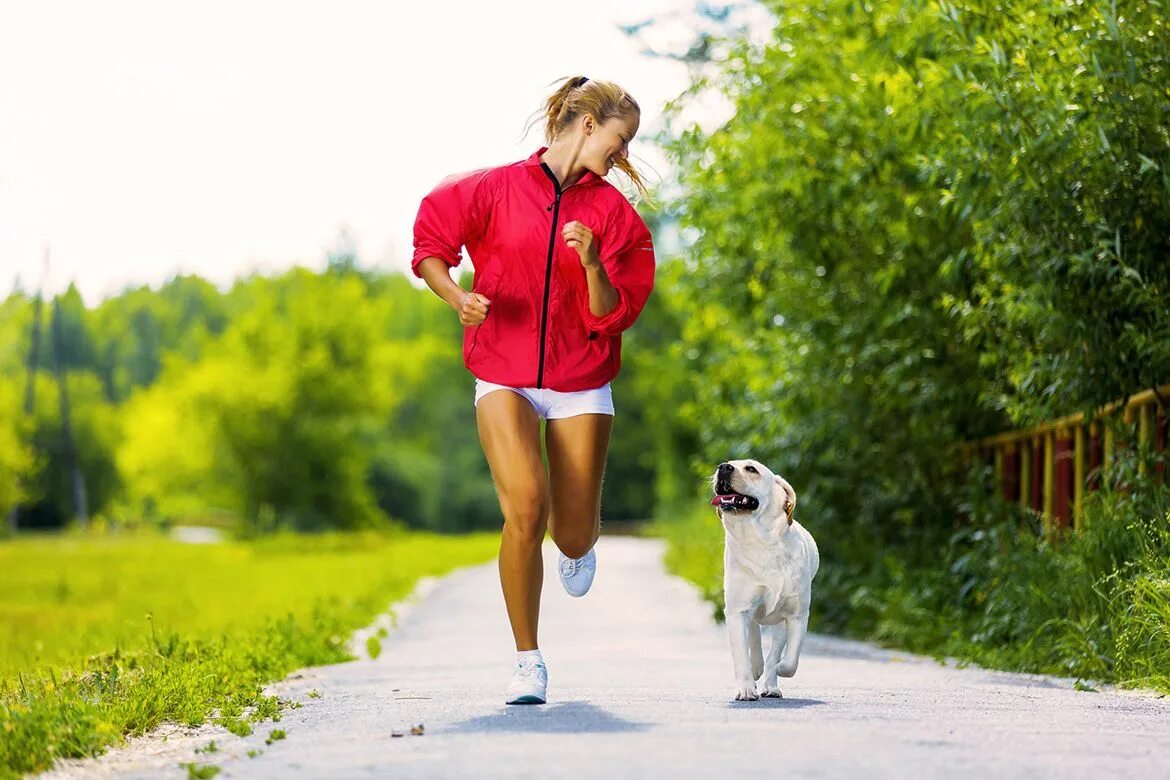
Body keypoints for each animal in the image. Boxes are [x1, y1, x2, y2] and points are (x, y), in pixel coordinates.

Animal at [706, 458, 819, 701]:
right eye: (727, 464)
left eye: (751, 469)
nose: (723, 467)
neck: (759, 542)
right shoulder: (737, 611)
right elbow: (742, 656)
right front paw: (746, 688)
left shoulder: (797, 614)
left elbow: (790, 660)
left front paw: (778, 669)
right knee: (754, 636)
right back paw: (757, 669)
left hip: (779, 622)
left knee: (774, 650)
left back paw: (770, 684)